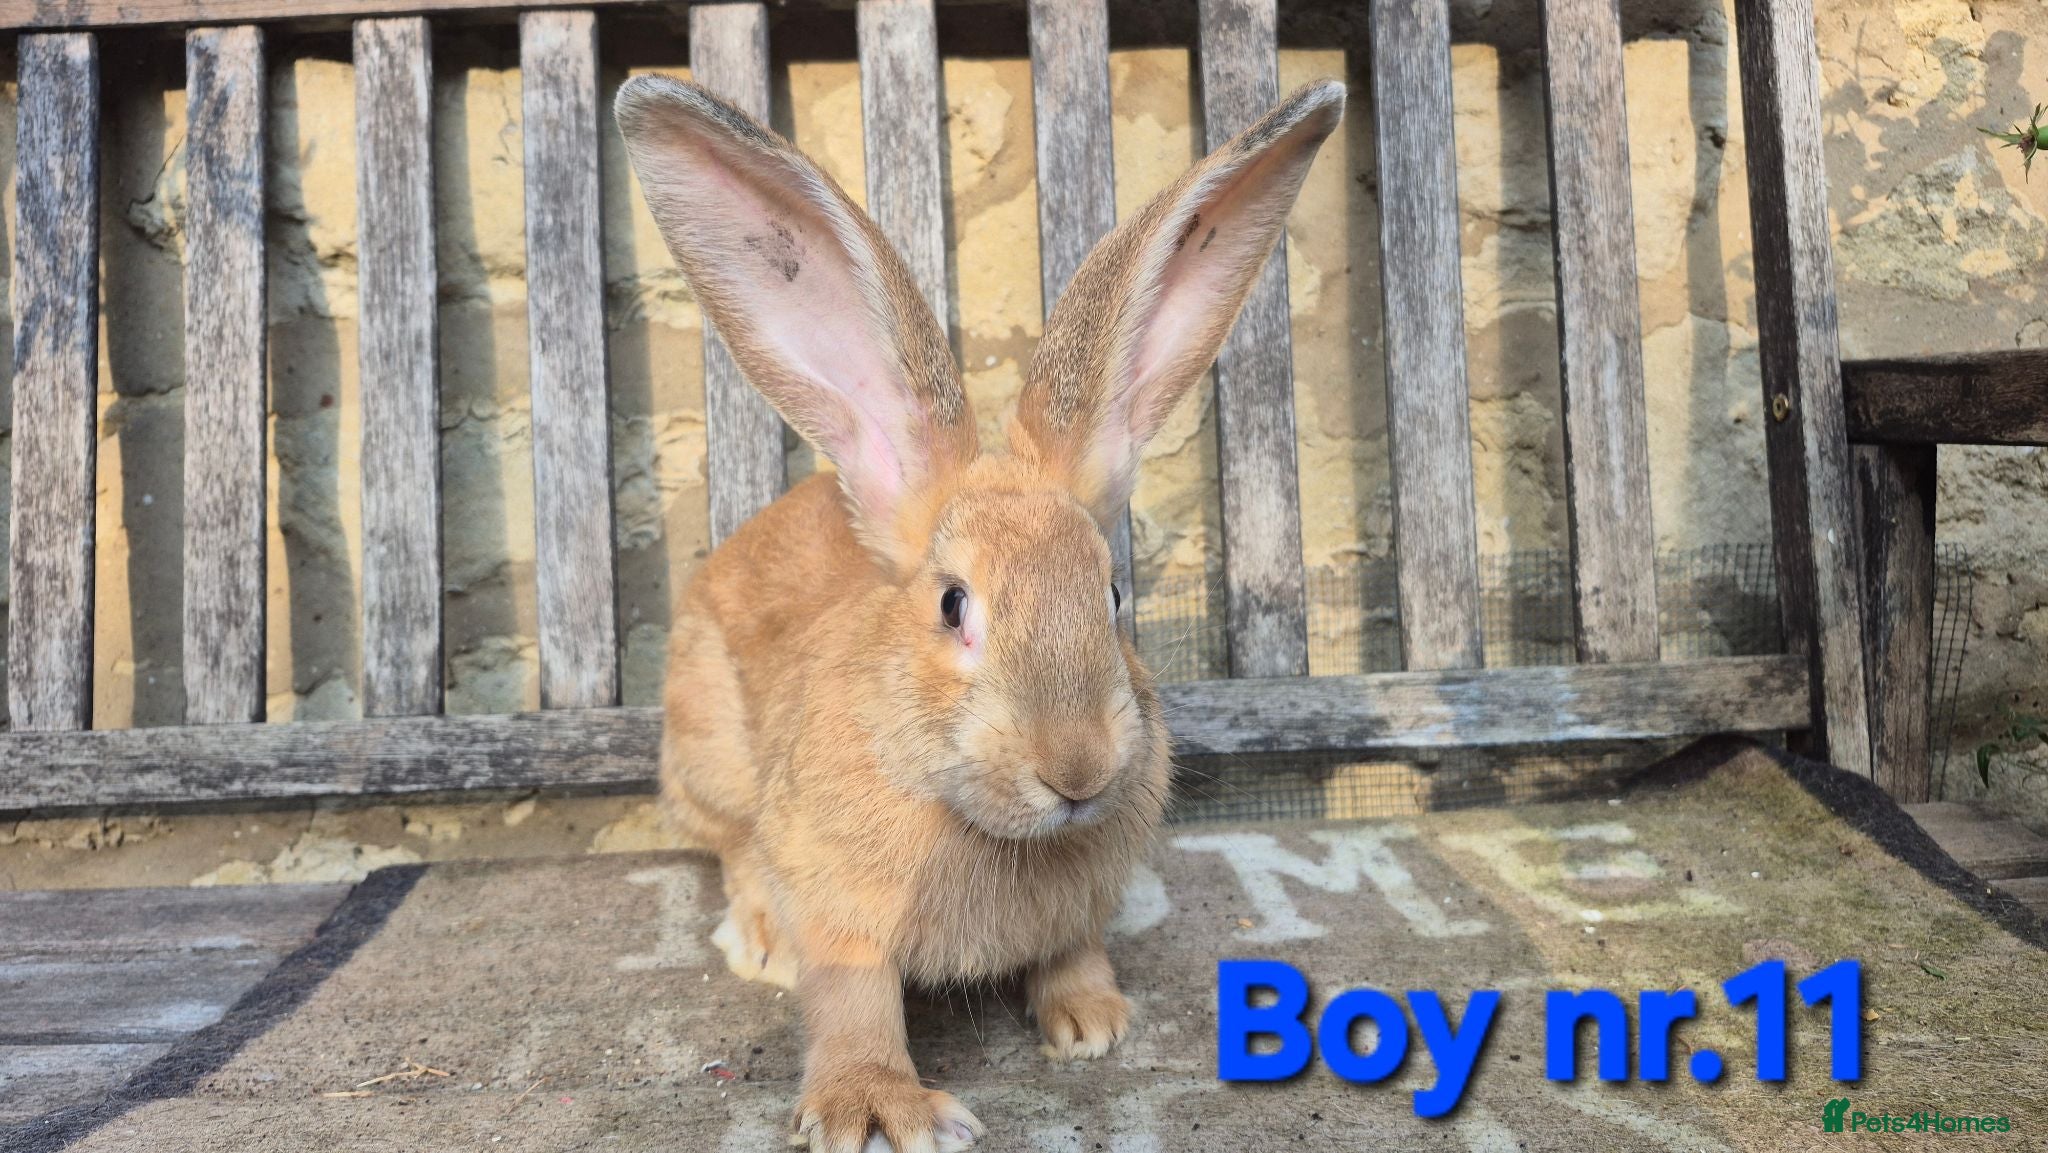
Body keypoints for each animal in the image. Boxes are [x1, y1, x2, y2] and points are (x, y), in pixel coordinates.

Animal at [615, 72, 1344, 1153]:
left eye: (1111, 593)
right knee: (733, 846)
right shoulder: (842, 905)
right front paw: (875, 1108)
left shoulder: (1078, 905)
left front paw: (1094, 1023)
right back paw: (762, 942)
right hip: (706, 750)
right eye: (953, 602)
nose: (1077, 766)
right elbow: (852, 996)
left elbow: (1072, 949)